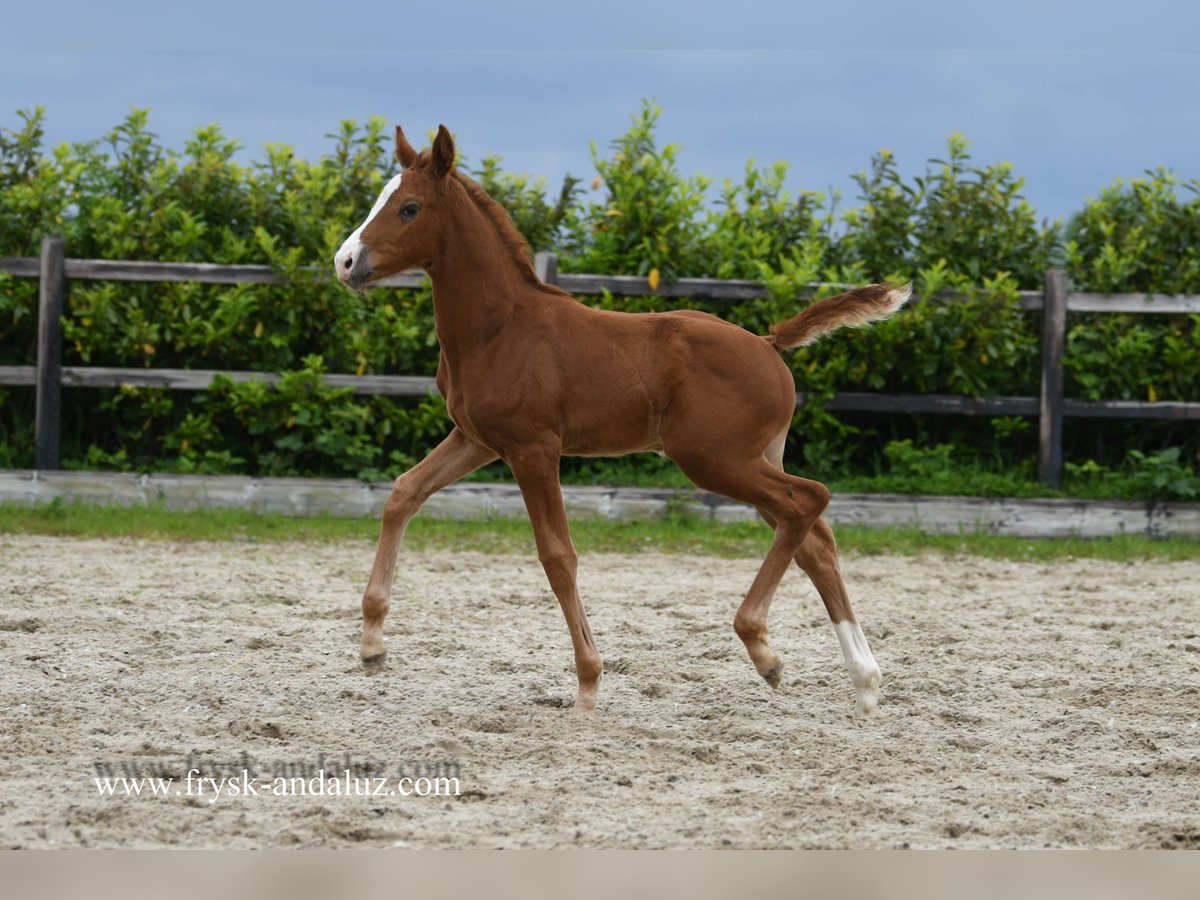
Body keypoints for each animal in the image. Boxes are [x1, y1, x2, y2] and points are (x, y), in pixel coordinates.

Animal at [333, 128, 902, 720]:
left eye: (409, 207)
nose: (345, 262)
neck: (501, 329)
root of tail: (770, 345)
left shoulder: (533, 449)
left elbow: (557, 556)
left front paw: (587, 683)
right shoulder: (476, 440)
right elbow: (403, 493)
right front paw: (371, 645)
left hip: (715, 461)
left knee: (809, 501)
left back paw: (764, 648)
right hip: (754, 458)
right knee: (814, 538)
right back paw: (862, 682)